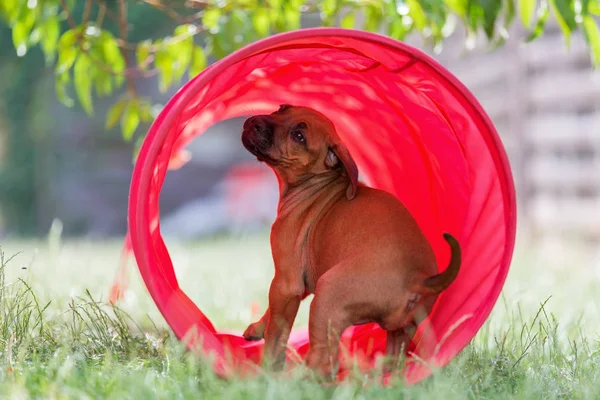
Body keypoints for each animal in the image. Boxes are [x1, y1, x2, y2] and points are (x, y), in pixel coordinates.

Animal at [239, 104, 460, 378]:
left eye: (299, 136)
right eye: (282, 109)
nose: (252, 121)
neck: (319, 182)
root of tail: (417, 278)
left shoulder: (286, 282)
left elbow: (277, 333)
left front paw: (267, 369)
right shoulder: (295, 283)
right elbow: (272, 314)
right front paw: (257, 329)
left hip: (327, 293)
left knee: (323, 362)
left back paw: (297, 379)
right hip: (401, 330)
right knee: (393, 360)